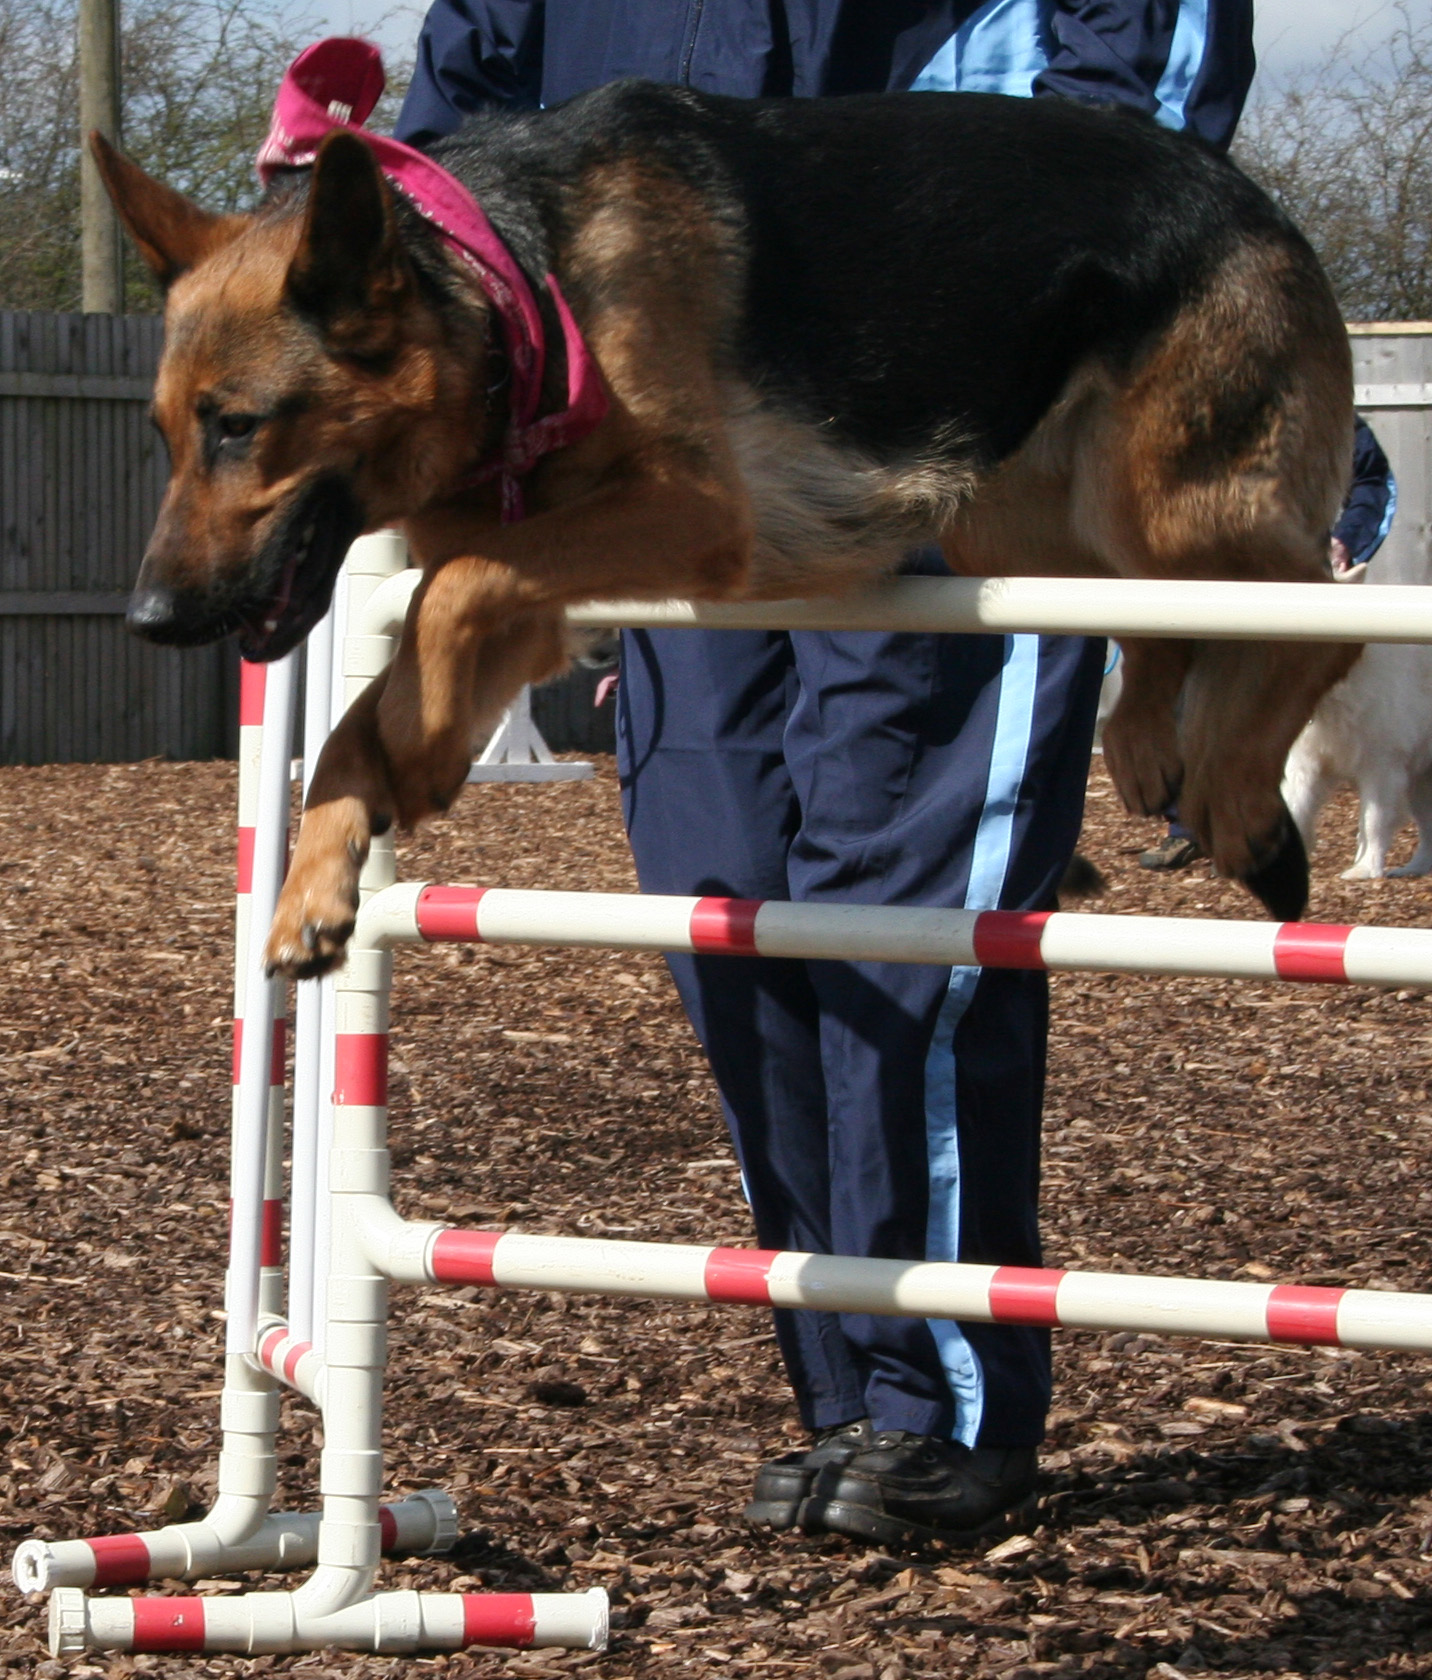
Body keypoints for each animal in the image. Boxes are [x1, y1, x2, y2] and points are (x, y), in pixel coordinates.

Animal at [97, 78, 1351, 981]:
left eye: (238, 427)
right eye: (162, 433)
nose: (146, 619)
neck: (521, 282)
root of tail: (1256, 200)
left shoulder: (688, 513)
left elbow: (452, 592)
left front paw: (421, 746)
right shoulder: (541, 596)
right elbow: (373, 704)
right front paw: (317, 878)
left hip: (1171, 506)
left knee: (1317, 613)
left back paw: (1241, 799)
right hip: (1029, 531)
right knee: (1161, 623)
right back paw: (1146, 744)